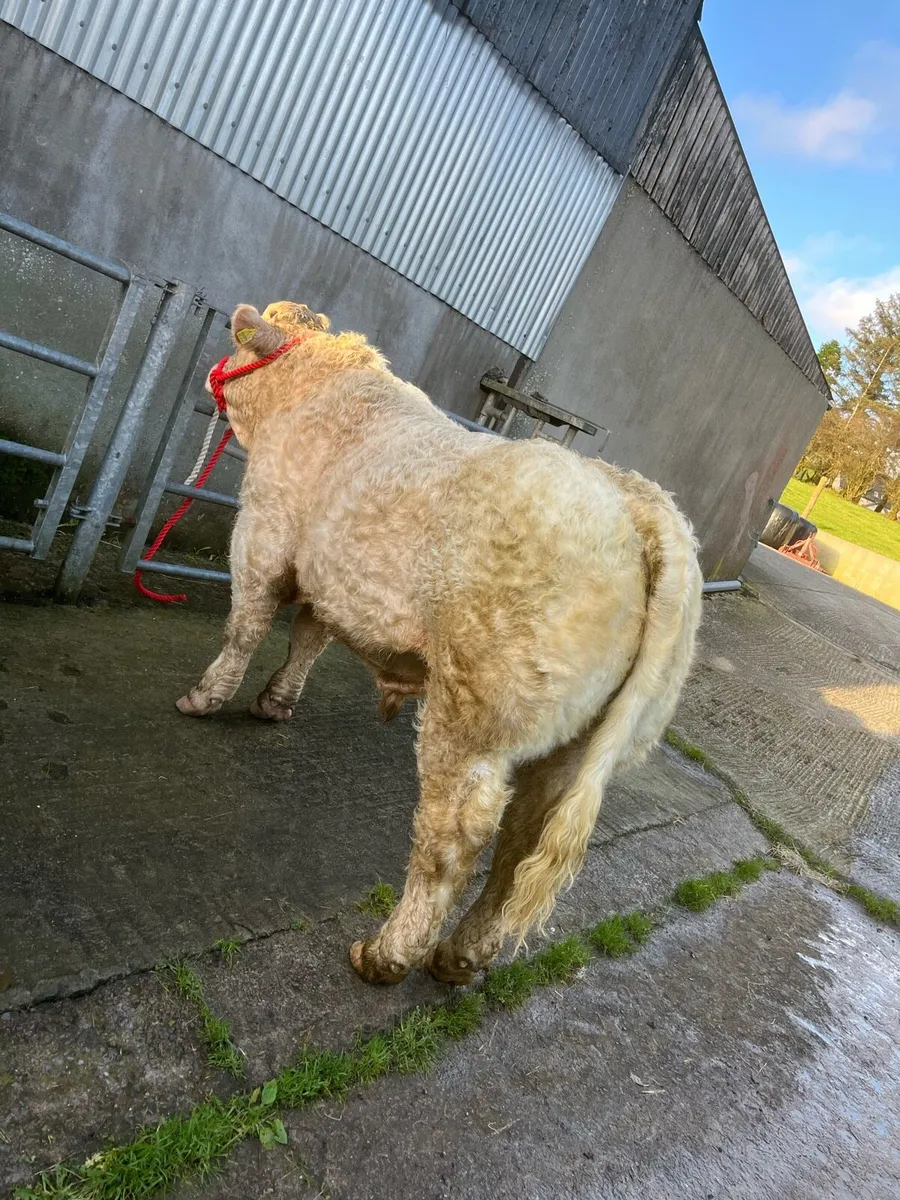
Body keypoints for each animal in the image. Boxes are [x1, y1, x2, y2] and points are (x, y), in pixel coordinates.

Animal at [176, 300, 703, 985]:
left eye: (242, 339)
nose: (211, 369)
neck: (313, 389)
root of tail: (641, 504)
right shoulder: (332, 573)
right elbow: (310, 636)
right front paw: (276, 702)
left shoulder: (265, 531)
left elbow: (247, 623)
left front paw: (205, 697)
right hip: (584, 739)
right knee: (522, 843)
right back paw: (460, 957)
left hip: (474, 710)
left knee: (454, 838)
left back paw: (384, 955)